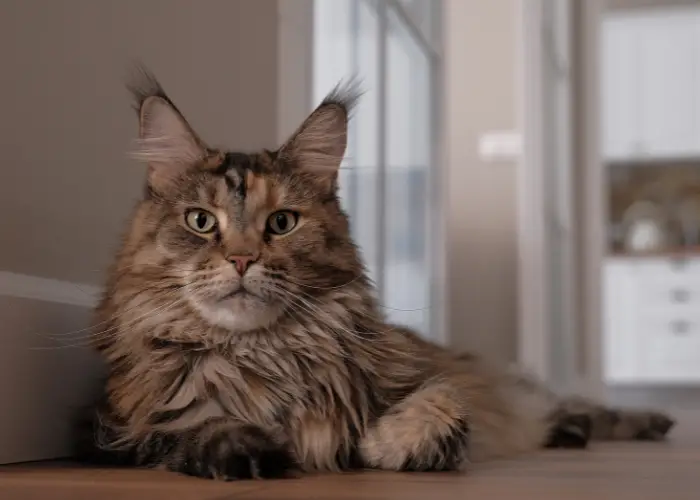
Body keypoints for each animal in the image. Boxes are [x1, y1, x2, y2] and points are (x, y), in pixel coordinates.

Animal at [74, 68, 676, 478]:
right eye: (201, 221)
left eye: (282, 222)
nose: (242, 259)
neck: (262, 353)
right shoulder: (115, 428)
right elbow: (191, 427)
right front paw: (250, 448)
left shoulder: (424, 375)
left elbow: (441, 404)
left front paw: (381, 443)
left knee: (570, 403)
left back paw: (644, 421)